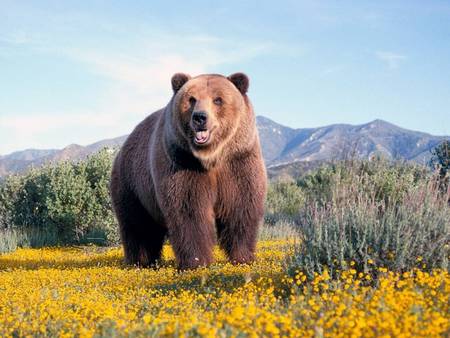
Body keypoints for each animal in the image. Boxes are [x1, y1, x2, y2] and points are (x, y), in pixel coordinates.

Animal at [110, 72, 268, 270]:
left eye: (218, 99)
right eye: (192, 99)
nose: (200, 117)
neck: (211, 157)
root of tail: (124, 146)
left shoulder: (238, 162)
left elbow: (241, 207)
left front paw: (243, 258)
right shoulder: (183, 163)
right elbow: (189, 210)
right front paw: (196, 262)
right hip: (133, 184)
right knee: (138, 225)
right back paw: (140, 261)